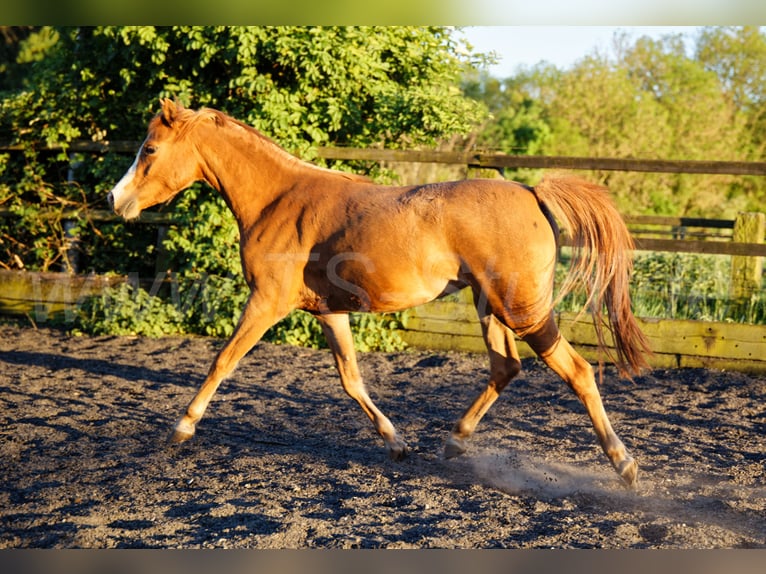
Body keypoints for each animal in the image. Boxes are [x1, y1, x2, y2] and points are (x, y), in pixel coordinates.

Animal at [108, 98, 651, 488]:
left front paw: (182, 428)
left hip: (523, 311)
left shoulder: (266, 302)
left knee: (577, 371)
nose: (114, 199)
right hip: (489, 308)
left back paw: (624, 465)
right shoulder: (329, 313)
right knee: (506, 367)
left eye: (149, 150)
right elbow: (352, 380)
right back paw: (454, 442)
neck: (278, 200)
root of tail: (532, 193)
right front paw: (395, 443)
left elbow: (223, 360)